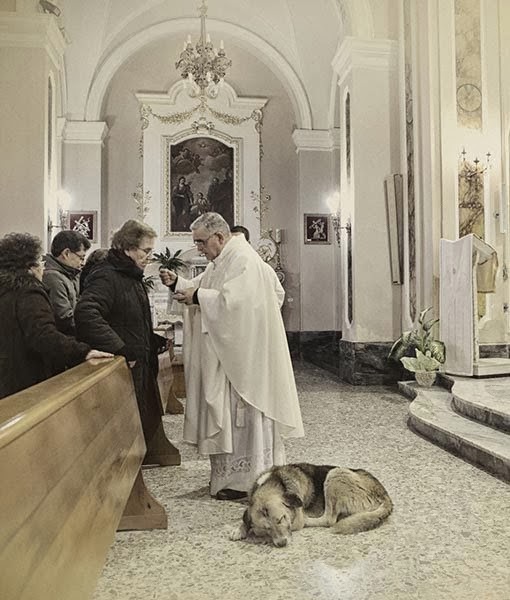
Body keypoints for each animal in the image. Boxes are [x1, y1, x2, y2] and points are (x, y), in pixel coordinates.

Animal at [229, 462, 392, 548]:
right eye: (266, 528)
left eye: (281, 519)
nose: (282, 544)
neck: (276, 482)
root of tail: (384, 494)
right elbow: (246, 517)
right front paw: (239, 529)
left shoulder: (295, 521)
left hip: (335, 474)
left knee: (329, 519)